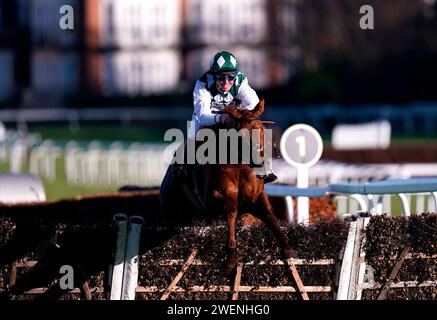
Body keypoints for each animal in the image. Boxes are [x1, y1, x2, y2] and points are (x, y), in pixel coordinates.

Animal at [158, 99, 294, 272]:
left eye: (262, 130)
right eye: (241, 136)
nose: (260, 166)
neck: (239, 168)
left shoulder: (256, 198)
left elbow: (269, 216)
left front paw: (287, 248)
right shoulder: (213, 198)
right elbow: (231, 210)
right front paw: (230, 258)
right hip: (171, 213)